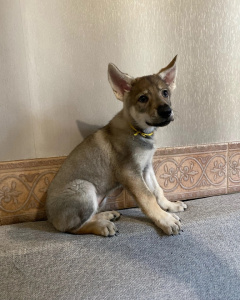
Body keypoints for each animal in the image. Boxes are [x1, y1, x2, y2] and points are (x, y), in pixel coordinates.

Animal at [46, 56, 187, 237]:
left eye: (165, 93)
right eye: (143, 98)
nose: (166, 111)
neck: (138, 131)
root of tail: (50, 218)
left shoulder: (146, 167)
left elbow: (157, 190)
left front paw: (170, 206)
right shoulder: (130, 173)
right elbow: (148, 197)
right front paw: (165, 220)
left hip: (100, 198)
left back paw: (106, 215)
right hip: (85, 187)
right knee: (72, 228)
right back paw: (101, 226)